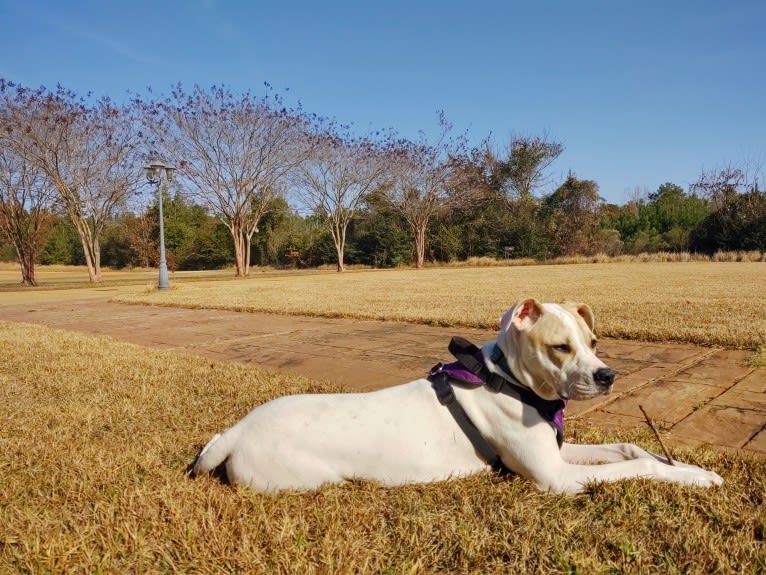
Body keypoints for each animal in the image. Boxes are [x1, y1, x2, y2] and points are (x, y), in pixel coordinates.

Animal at [189, 296, 724, 496]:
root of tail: (236, 432)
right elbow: (639, 468)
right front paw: (693, 477)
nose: (608, 376)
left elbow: (631, 450)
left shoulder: (558, 452)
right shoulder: (555, 478)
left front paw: (684, 465)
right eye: (560, 346)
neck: (507, 380)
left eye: (593, 342)